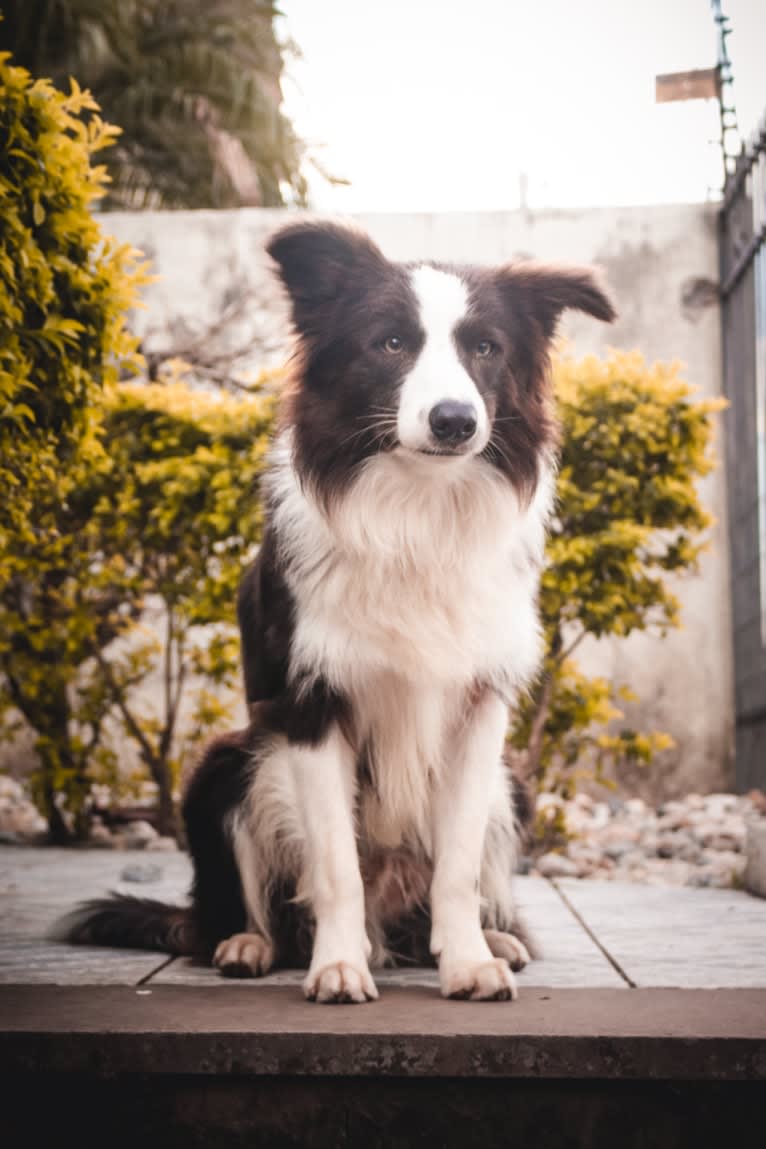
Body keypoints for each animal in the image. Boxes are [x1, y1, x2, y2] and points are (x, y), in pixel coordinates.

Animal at [60, 219, 615, 1001]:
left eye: (485, 348)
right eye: (392, 342)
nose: (455, 421)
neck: (416, 512)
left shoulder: (480, 712)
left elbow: (457, 867)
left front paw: (468, 960)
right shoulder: (311, 703)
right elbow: (335, 867)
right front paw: (339, 965)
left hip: (514, 786)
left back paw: (493, 938)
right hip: (227, 766)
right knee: (243, 908)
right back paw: (247, 944)